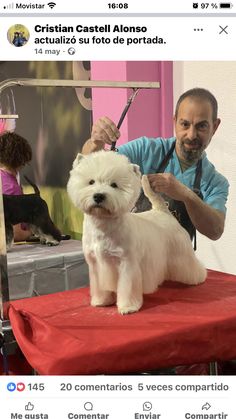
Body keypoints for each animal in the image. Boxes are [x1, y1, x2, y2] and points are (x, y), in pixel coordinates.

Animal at [67, 151, 206, 316]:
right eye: (91, 182)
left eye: (114, 185)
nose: (99, 196)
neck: (103, 225)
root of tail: (163, 212)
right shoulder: (96, 264)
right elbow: (100, 286)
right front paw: (101, 301)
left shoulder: (127, 263)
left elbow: (127, 287)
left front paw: (128, 307)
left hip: (180, 251)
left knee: (191, 265)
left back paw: (198, 277)